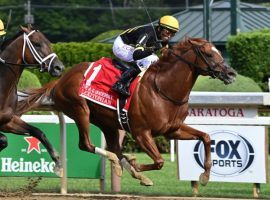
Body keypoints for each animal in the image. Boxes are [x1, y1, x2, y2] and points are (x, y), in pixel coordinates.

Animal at [0, 25, 64, 177]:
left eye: (49, 43)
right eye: (37, 44)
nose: (59, 67)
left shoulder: (7, 121)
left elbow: (37, 131)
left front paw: (58, 163)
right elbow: (3, 139)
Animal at [16, 37, 236, 184]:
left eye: (218, 51)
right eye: (209, 54)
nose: (231, 73)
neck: (163, 89)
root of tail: (60, 80)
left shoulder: (172, 129)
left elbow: (206, 137)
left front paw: (205, 175)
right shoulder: (141, 132)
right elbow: (159, 161)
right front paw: (137, 165)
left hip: (107, 122)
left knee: (114, 147)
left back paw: (130, 169)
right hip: (80, 110)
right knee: (86, 144)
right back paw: (123, 164)